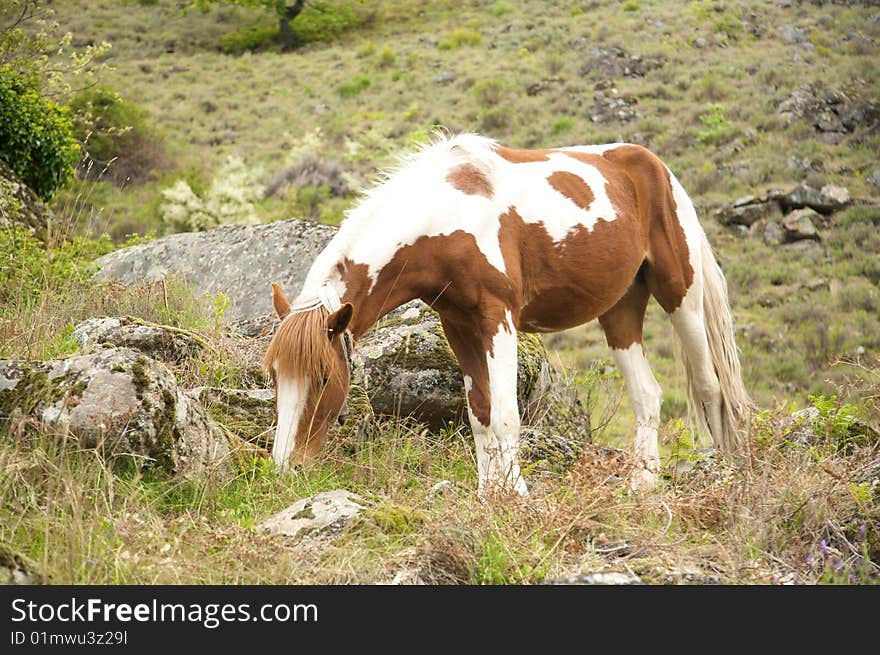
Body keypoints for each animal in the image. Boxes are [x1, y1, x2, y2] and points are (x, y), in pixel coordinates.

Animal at [262, 131, 748, 494]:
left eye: (324, 379)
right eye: (276, 377)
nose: (287, 467)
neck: (446, 216)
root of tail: (656, 167)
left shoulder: (499, 320)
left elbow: (505, 415)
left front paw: (516, 494)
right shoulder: (458, 326)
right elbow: (479, 414)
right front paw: (487, 493)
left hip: (681, 295)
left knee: (710, 387)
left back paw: (725, 474)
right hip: (620, 311)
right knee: (648, 394)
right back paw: (643, 485)